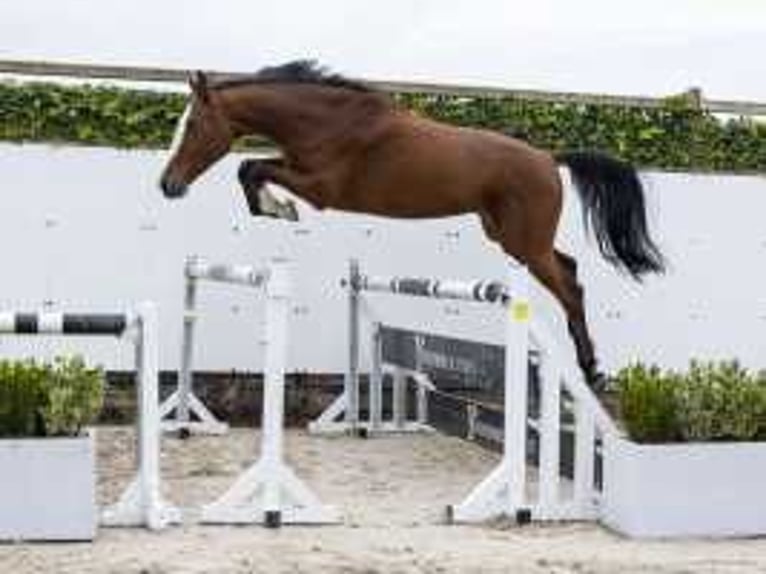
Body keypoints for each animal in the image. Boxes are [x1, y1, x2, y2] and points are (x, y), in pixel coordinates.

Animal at [159, 60, 664, 390]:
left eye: (193, 125)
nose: (168, 185)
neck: (323, 119)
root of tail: (547, 157)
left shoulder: (321, 188)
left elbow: (252, 169)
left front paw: (279, 209)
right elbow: (250, 170)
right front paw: (273, 207)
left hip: (527, 244)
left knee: (570, 286)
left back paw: (592, 372)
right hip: (509, 236)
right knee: (571, 268)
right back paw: (589, 366)